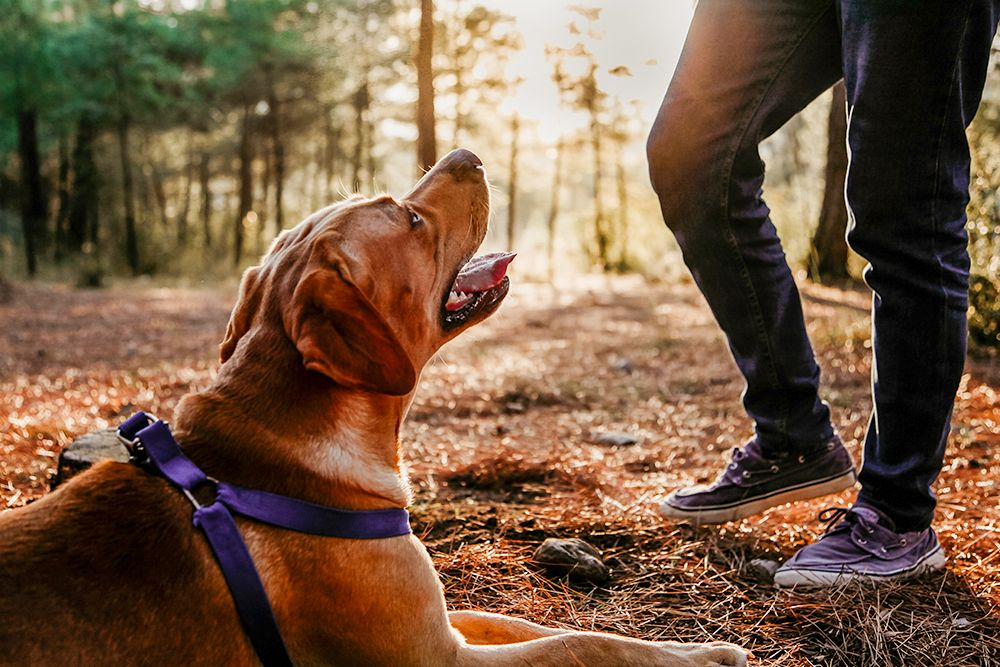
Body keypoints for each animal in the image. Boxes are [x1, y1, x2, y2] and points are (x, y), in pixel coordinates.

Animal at [0, 149, 752, 664]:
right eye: (412, 219)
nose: (467, 154)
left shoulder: (441, 622)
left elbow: (548, 627)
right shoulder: (437, 658)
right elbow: (576, 646)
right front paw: (704, 657)